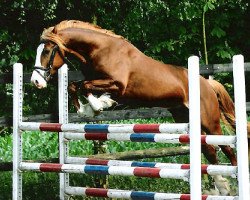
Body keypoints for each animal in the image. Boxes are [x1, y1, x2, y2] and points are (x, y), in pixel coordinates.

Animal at [30, 20, 249, 195]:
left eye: (47, 51)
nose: (35, 81)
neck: (100, 49)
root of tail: (207, 83)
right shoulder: (99, 82)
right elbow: (75, 86)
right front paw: (88, 109)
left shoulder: (118, 85)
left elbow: (84, 86)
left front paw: (99, 105)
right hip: (184, 117)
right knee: (210, 150)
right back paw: (222, 187)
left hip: (210, 123)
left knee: (227, 150)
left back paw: (235, 184)